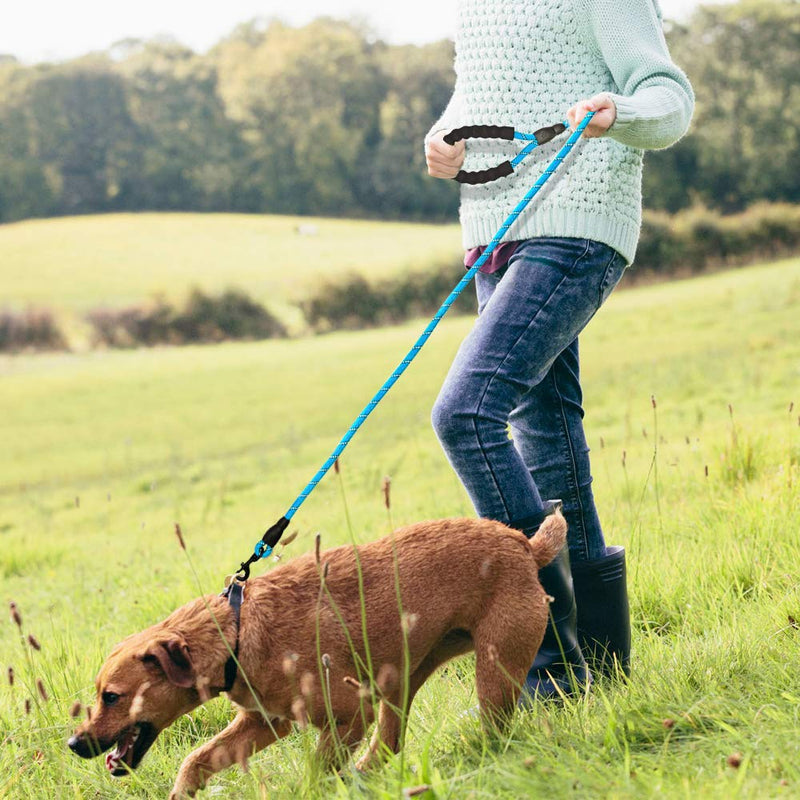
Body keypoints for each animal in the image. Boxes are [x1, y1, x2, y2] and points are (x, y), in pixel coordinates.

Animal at [70, 516, 568, 796]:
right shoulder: (263, 723)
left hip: (493, 674)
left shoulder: (348, 716)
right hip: (402, 678)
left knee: (494, 734)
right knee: (388, 746)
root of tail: (524, 544)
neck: (237, 630)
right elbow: (196, 760)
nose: (74, 744)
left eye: (112, 696)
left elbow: (315, 773)